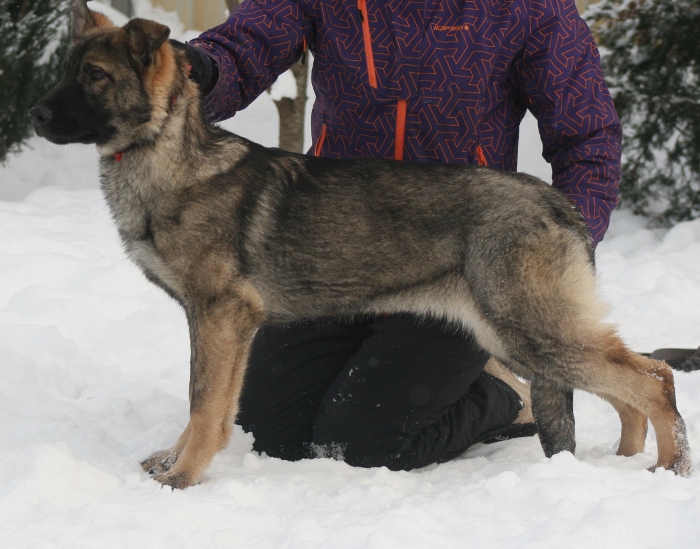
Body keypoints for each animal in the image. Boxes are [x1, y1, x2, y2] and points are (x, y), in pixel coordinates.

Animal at [30, 0, 692, 488]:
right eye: (64, 72)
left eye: (95, 77)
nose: (34, 115)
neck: (170, 155)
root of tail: (561, 204)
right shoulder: (220, 326)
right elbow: (207, 405)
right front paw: (172, 462)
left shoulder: (219, 317)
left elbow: (204, 405)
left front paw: (183, 477)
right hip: (518, 337)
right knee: (621, 385)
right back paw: (627, 462)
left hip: (530, 332)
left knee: (654, 376)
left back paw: (668, 467)